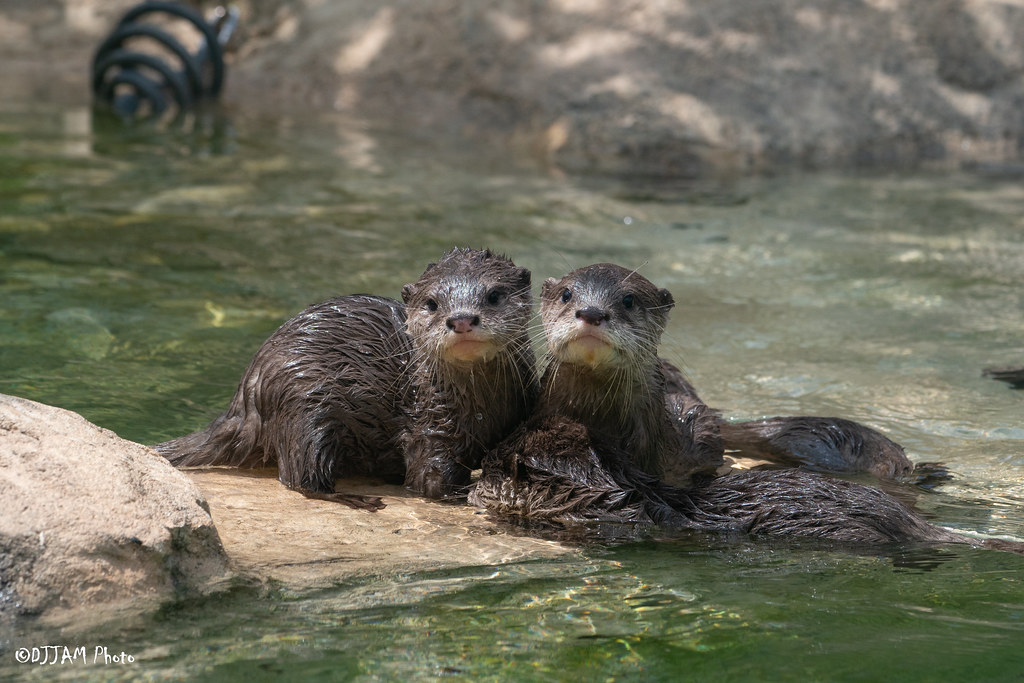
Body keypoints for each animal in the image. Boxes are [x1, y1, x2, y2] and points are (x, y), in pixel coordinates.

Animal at [156, 248, 537, 508]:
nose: (461, 319)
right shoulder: (430, 428)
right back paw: (353, 498)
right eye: (432, 303)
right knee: (300, 475)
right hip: (303, 405)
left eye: (493, 295)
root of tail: (245, 400)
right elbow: (430, 482)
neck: (480, 408)